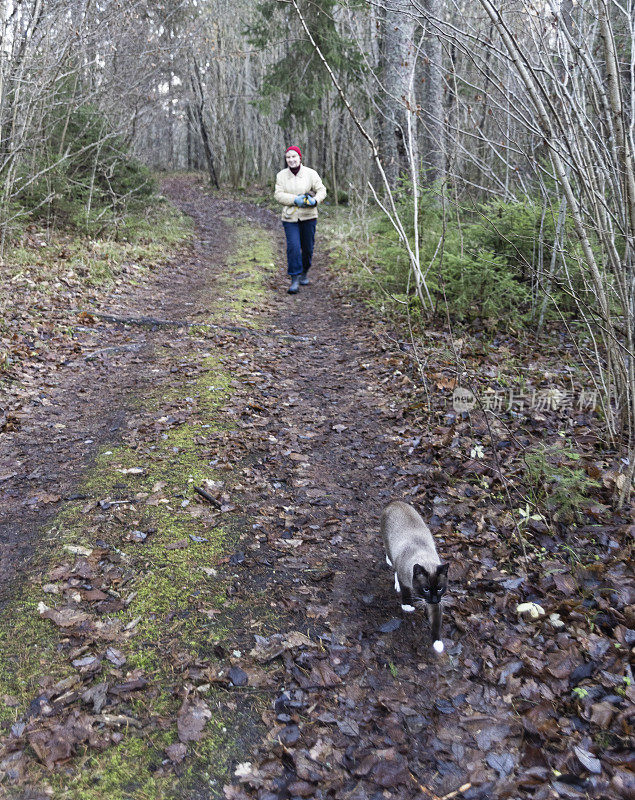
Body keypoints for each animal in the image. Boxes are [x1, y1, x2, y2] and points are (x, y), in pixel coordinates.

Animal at [380, 504, 450, 652]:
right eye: (426, 589)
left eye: (439, 588)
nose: (434, 599)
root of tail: (395, 502)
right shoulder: (404, 578)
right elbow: (406, 591)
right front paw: (407, 606)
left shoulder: (436, 602)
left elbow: (436, 622)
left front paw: (438, 643)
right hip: (388, 544)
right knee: (392, 563)